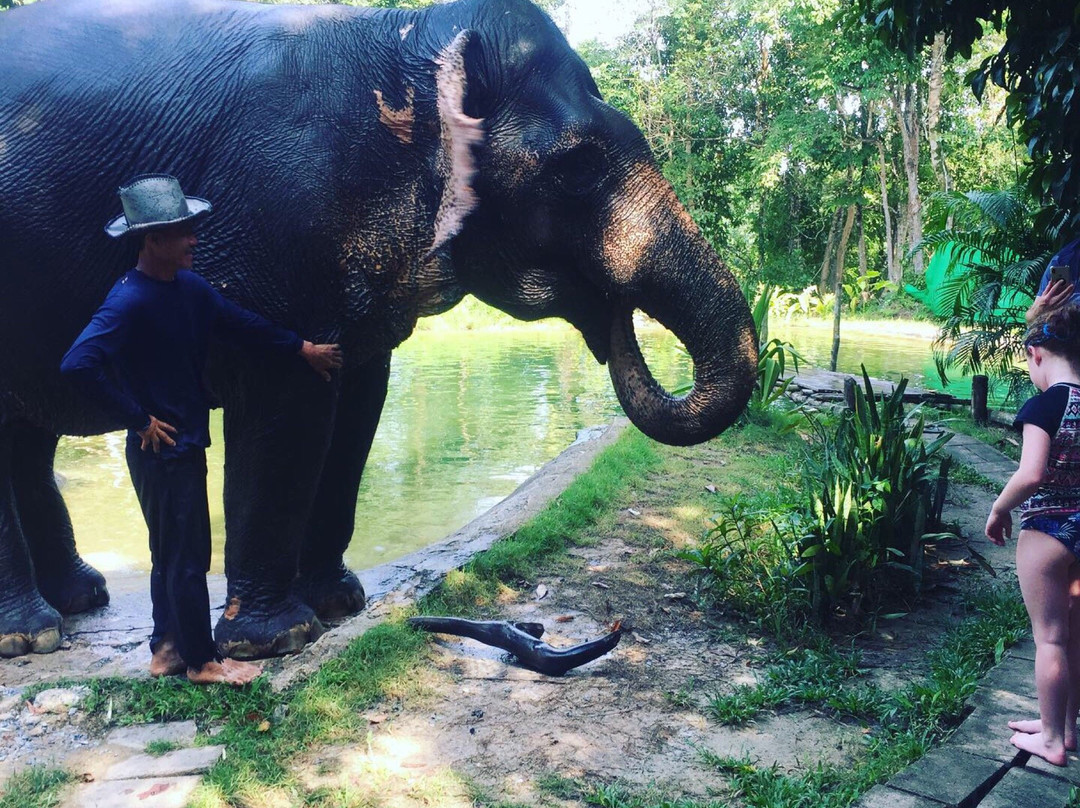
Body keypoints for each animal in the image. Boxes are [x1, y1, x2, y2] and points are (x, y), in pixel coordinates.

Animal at [0, 0, 757, 659]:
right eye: (576, 168)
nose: (611, 321)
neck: (405, 41)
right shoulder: (272, 227)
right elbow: (284, 404)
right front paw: (277, 641)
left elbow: (358, 401)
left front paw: (341, 603)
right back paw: (30, 636)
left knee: (27, 439)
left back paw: (81, 600)